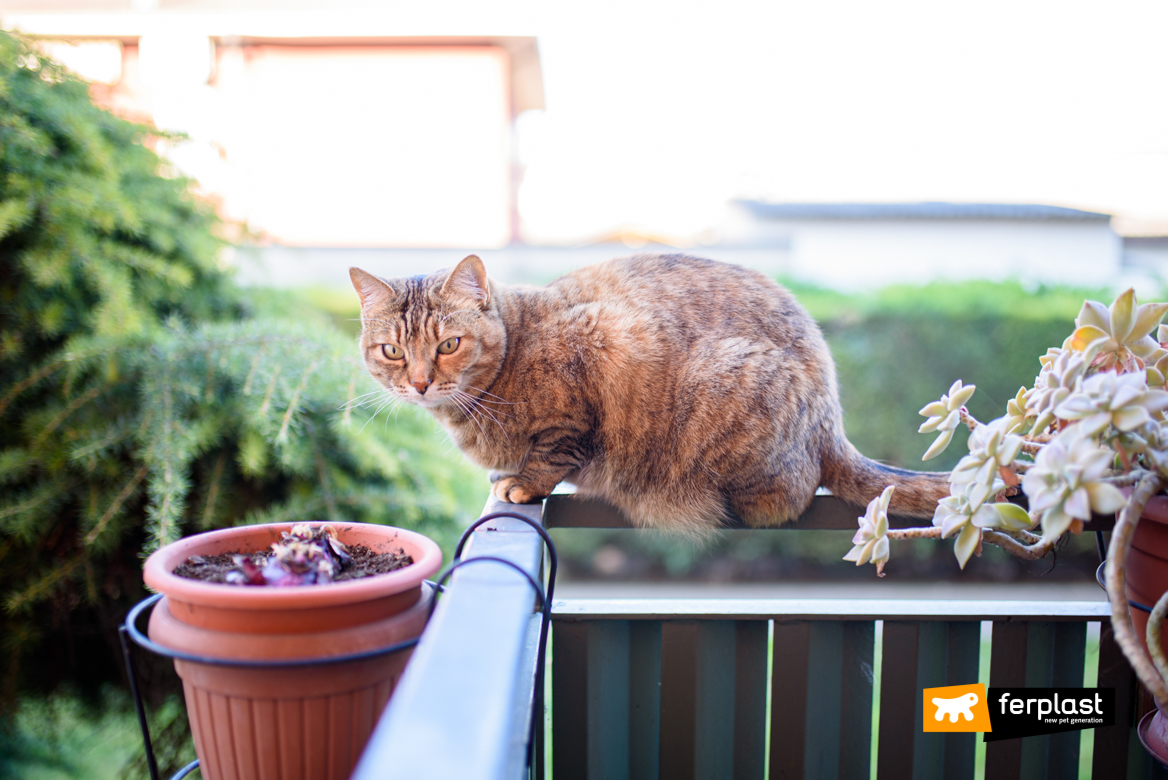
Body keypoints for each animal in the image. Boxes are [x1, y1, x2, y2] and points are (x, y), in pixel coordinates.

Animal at [345, 253, 948, 532]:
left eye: (449, 344)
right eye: (392, 351)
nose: (420, 383)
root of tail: (832, 424)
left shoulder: (598, 345)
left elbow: (552, 452)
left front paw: (524, 482)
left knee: (792, 494)